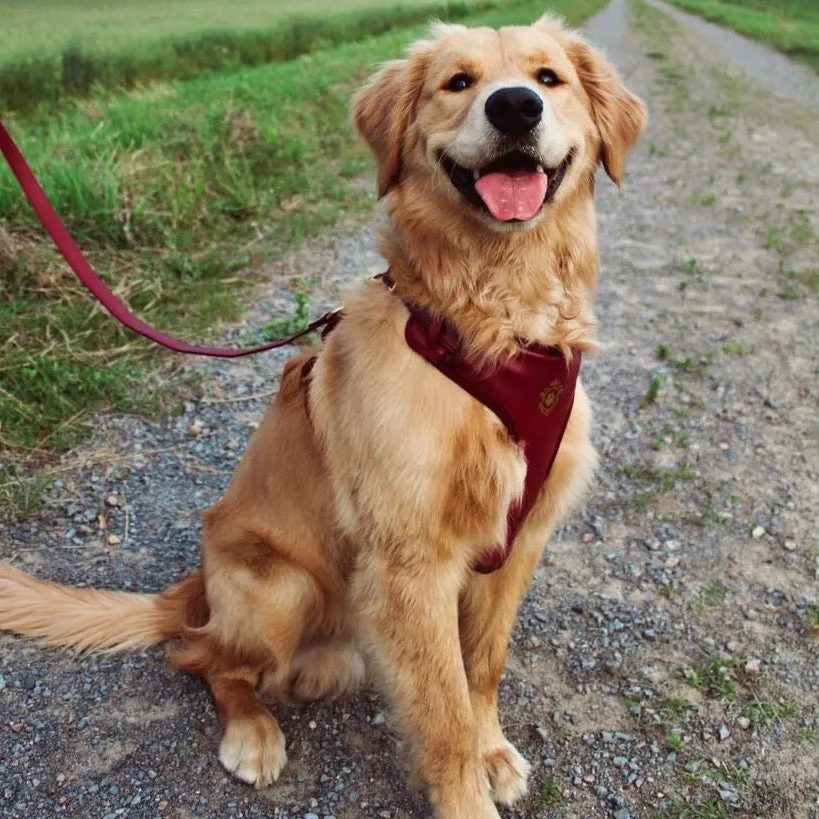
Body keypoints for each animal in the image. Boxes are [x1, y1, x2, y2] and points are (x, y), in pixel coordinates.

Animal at [0, 12, 644, 819]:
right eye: (458, 82)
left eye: (547, 78)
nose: (514, 107)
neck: (491, 325)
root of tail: (195, 587)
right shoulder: (411, 563)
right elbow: (443, 714)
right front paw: (467, 787)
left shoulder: (520, 540)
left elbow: (482, 667)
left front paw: (492, 748)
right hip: (282, 587)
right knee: (203, 657)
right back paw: (251, 732)